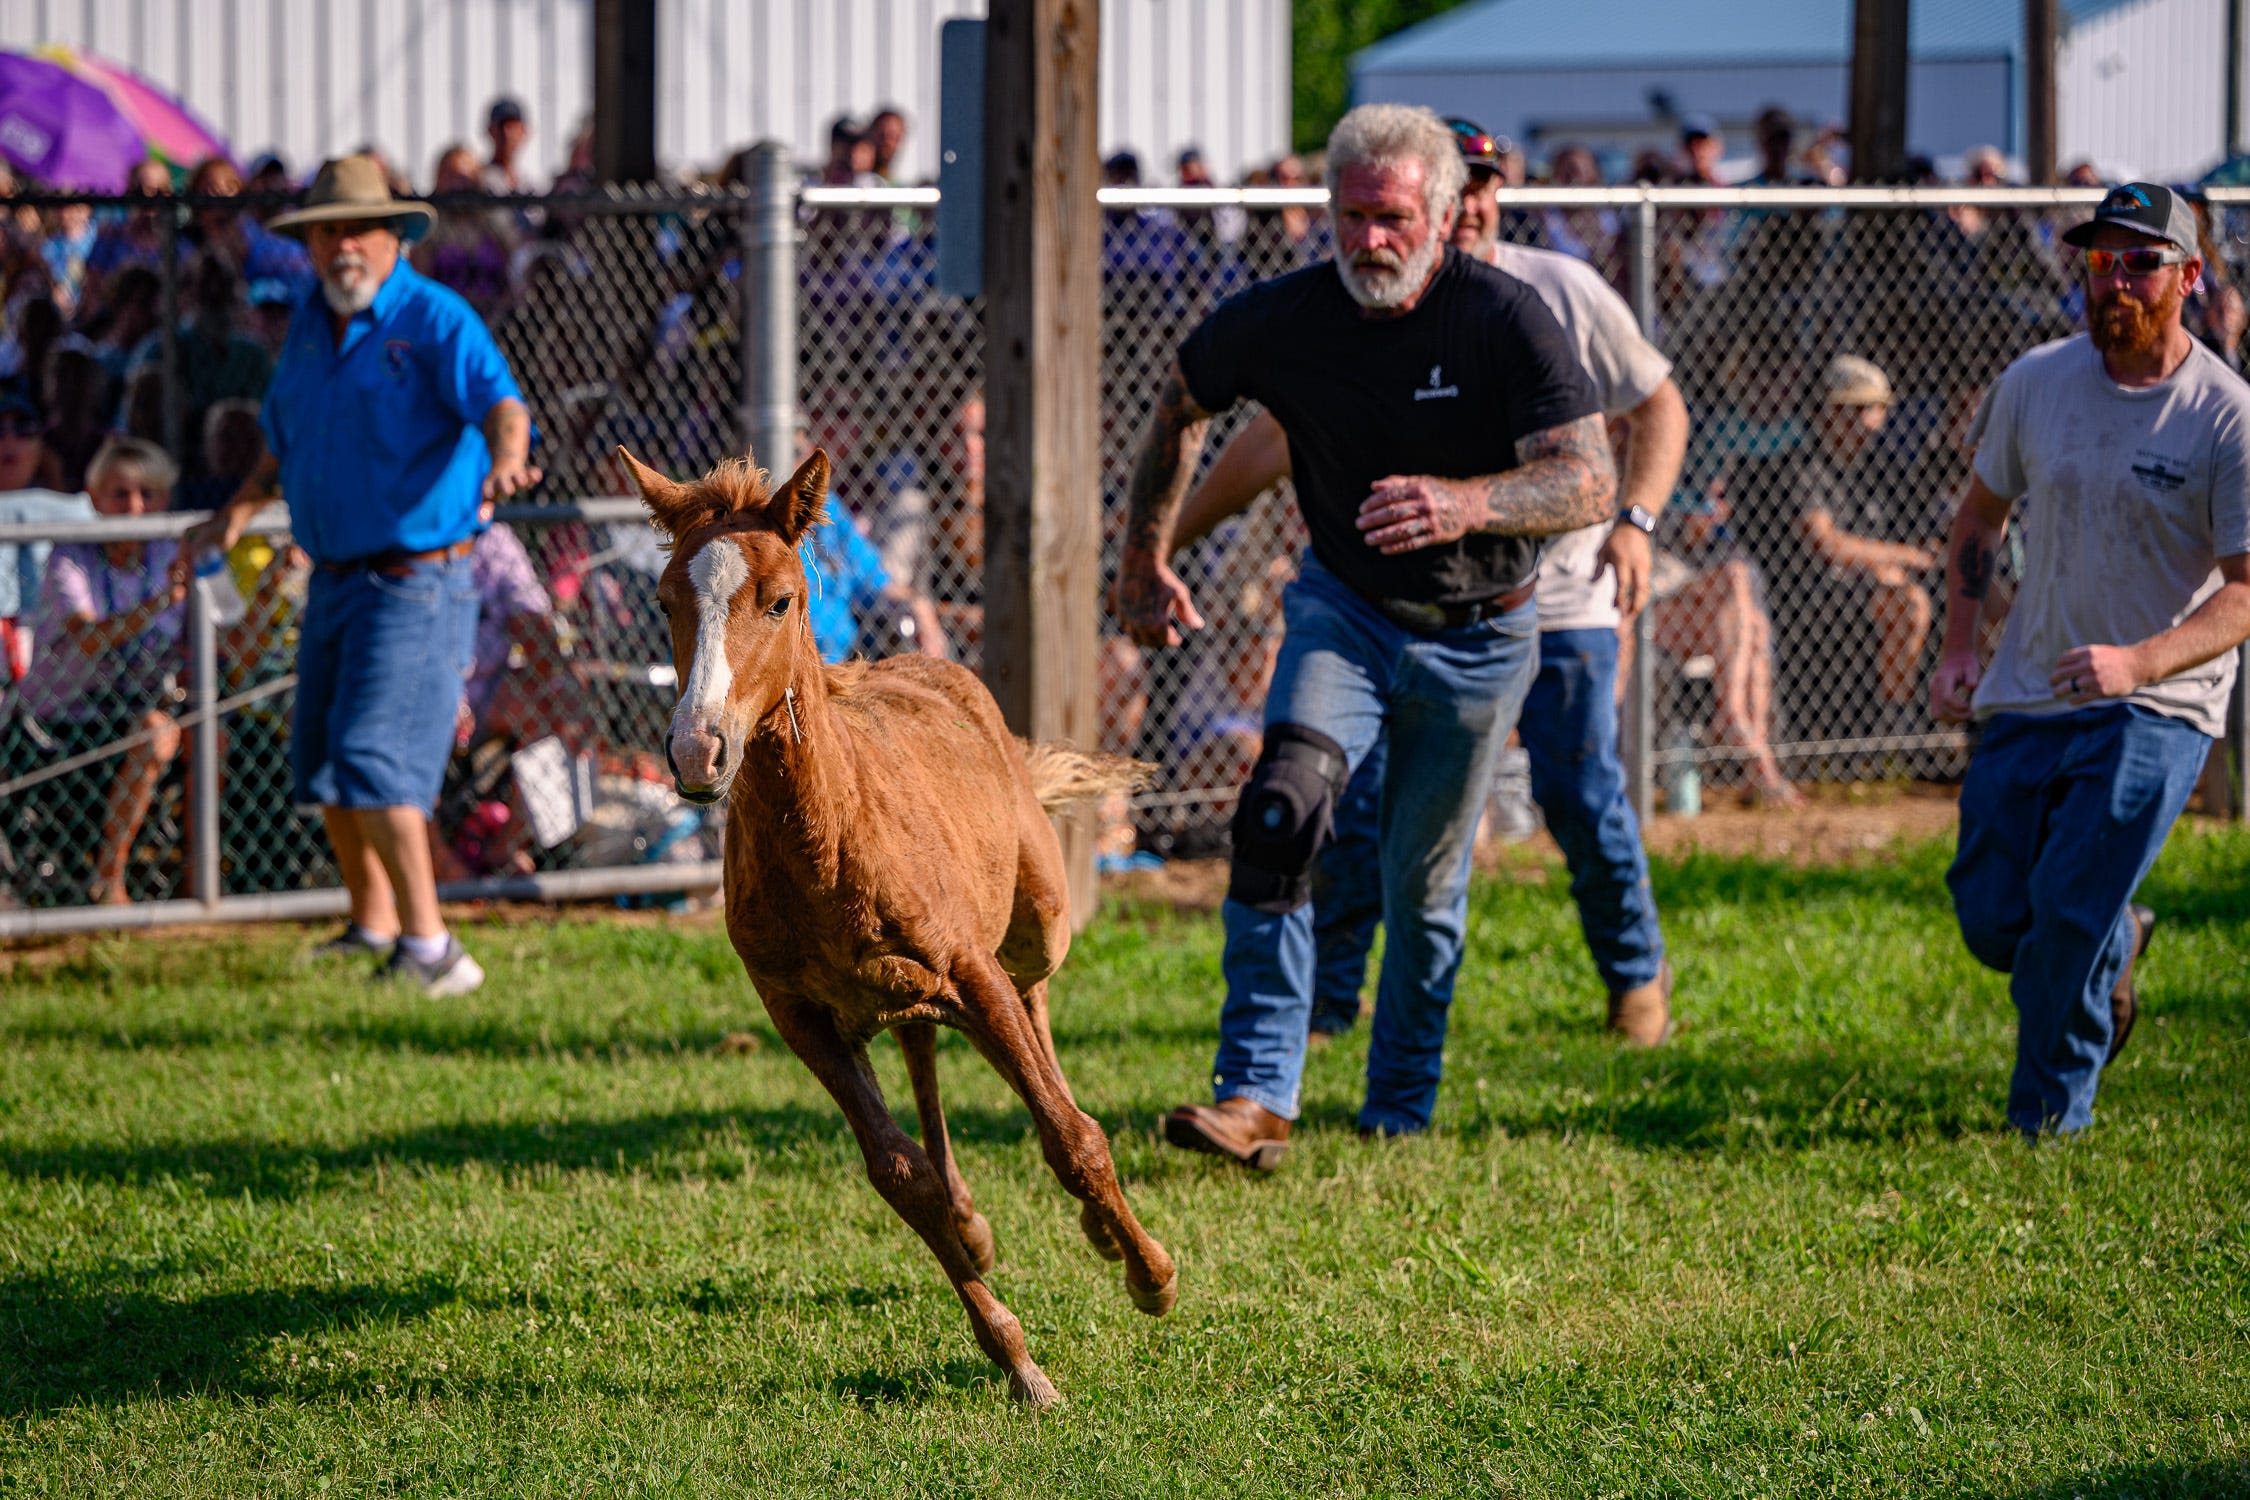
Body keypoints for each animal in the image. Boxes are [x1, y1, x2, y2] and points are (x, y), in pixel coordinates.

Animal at [621, 445, 1179, 1412]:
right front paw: (1016, 1357)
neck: (830, 836)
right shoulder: (801, 1019)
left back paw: (1100, 1226)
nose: (698, 750)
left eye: (779, 599)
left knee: (1036, 1010)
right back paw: (973, 1220)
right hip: (900, 993)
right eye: (664, 600)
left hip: (1035, 926)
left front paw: (1151, 1274)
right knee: (922, 1043)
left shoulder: (973, 971)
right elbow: (897, 1175)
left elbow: (1071, 1140)